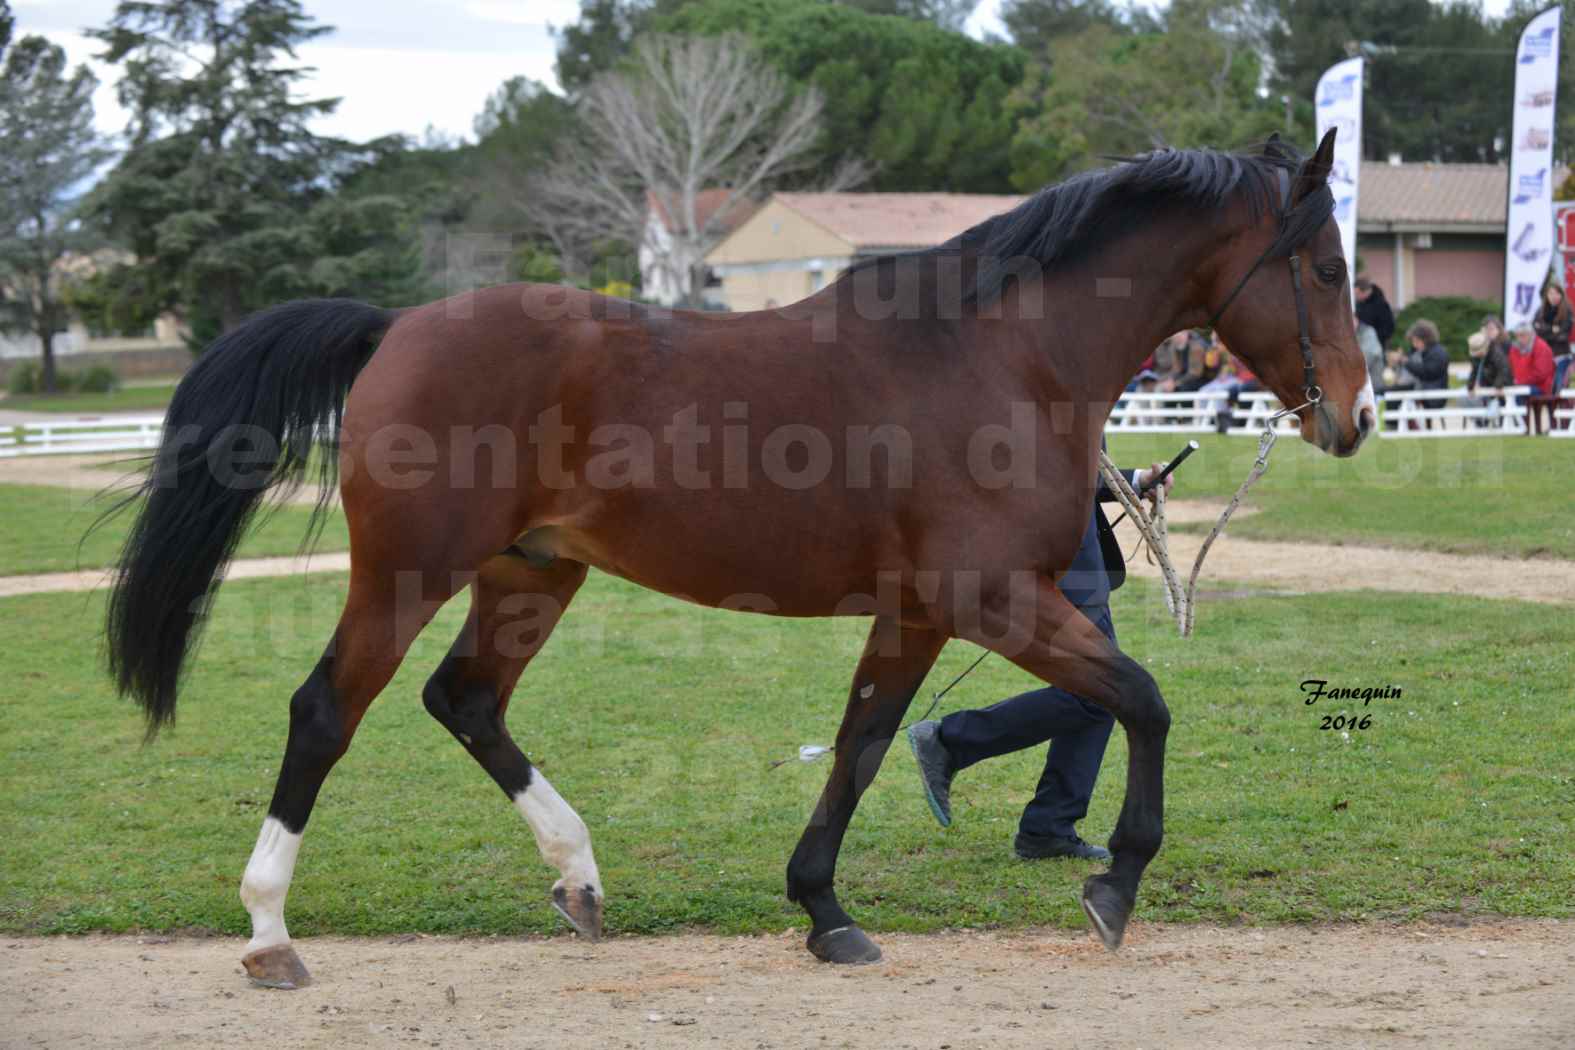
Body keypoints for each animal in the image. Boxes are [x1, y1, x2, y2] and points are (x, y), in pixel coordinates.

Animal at [104, 131, 1373, 988]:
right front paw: (1114, 883)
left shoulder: (918, 613)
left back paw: (579, 876)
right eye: (1324, 270)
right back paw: (270, 929)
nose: (1355, 419)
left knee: (464, 700)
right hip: (410, 573)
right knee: (328, 710)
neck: (1001, 352)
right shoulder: (992, 601)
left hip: (531, 572)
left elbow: (864, 745)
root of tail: (397, 327)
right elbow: (1144, 699)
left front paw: (823, 910)